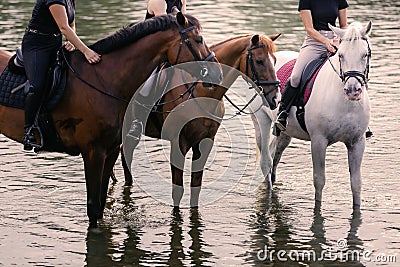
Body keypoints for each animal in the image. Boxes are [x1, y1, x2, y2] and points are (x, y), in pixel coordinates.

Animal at [0, 12, 222, 229]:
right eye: (198, 39)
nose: (217, 74)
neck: (106, 80)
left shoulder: (111, 149)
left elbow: (100, 203)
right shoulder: (93, 152)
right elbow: (93, 205)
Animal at [120, 33, 280, 208]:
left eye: (275, 61)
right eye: (259, 61)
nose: (275, 98)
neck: (201, 91)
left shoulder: (205, 142)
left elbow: (196, 187)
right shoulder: (178, 143)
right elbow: (178, 191)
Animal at [248, 21, 374, 209]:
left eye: (365, 55)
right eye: (341, 55)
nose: (353, 90)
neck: (345, 103)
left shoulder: (357, 143)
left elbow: (356, 183)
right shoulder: (318, 141)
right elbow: (319, 180)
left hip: (284, 133)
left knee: (275, 156)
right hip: (261, 121)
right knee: (265, 160)